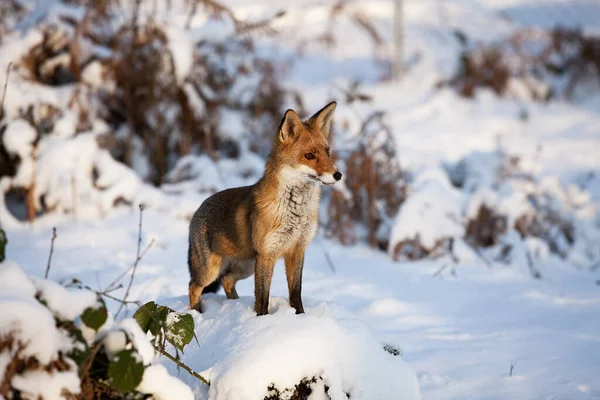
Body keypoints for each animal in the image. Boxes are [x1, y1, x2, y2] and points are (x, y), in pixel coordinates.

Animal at [188, 102, 342, 316]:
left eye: (328, 152)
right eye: (309, 156)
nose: (338, 175)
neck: (295, 213)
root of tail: (199, 208)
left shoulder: (297, 250)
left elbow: (296, 292)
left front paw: (300, 317)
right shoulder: (267, 254)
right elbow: (262, 298)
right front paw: (261, 319)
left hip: (246, 266)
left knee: (227, 280)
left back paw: (234, 304)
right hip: (212, 270)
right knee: (194, 286)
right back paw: (196, 312)